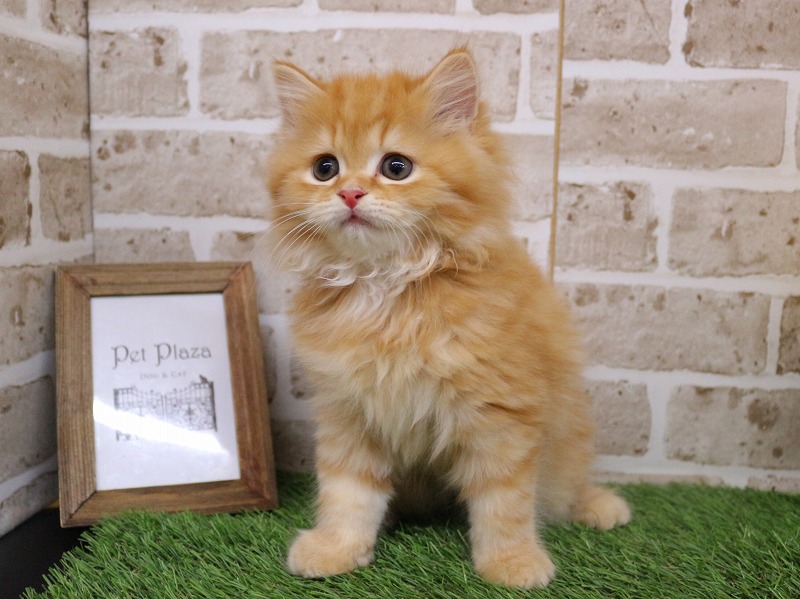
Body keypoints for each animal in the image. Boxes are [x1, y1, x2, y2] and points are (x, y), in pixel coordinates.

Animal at [266, 47, 631, 589]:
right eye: (325, 168)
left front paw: (511, 562)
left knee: (566, 487)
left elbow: (504, 501)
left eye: (396, 167)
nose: (349, 194)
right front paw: (337, 547)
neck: (388, 287)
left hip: (566, 442)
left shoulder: (502, 413)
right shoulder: (348, 412)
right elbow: (347, 492)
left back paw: (599, 505)